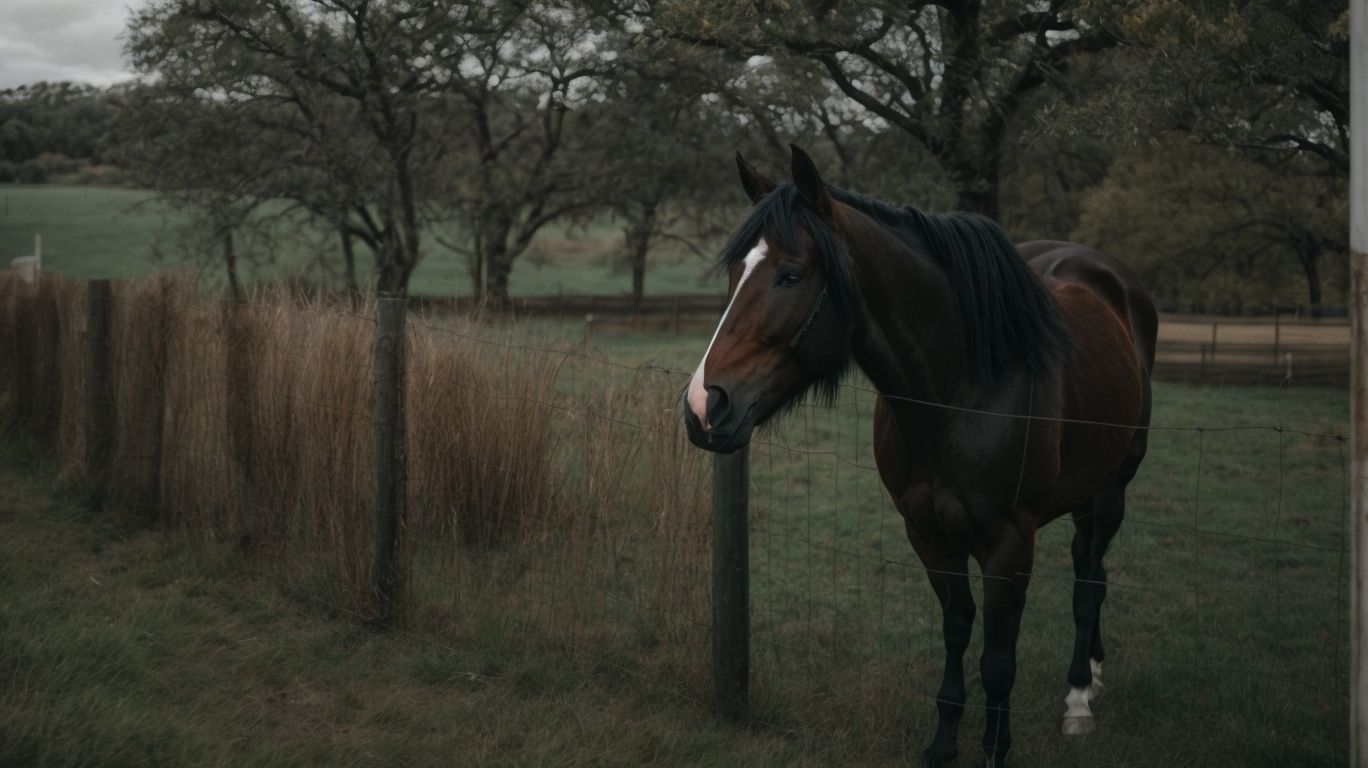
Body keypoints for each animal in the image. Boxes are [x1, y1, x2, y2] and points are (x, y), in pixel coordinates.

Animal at [682, 145, 1155, 768]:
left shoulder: (1009, 543)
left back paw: (1079, 694)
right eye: (737, 273)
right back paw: (1092, 673)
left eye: (791, 275)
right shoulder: (928, 533)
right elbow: (957, 627)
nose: (703, 404)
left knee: (1088, 580)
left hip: (1111, 491)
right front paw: (943, 743)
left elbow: (998, 661)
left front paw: (995, 749)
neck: (960, 390)